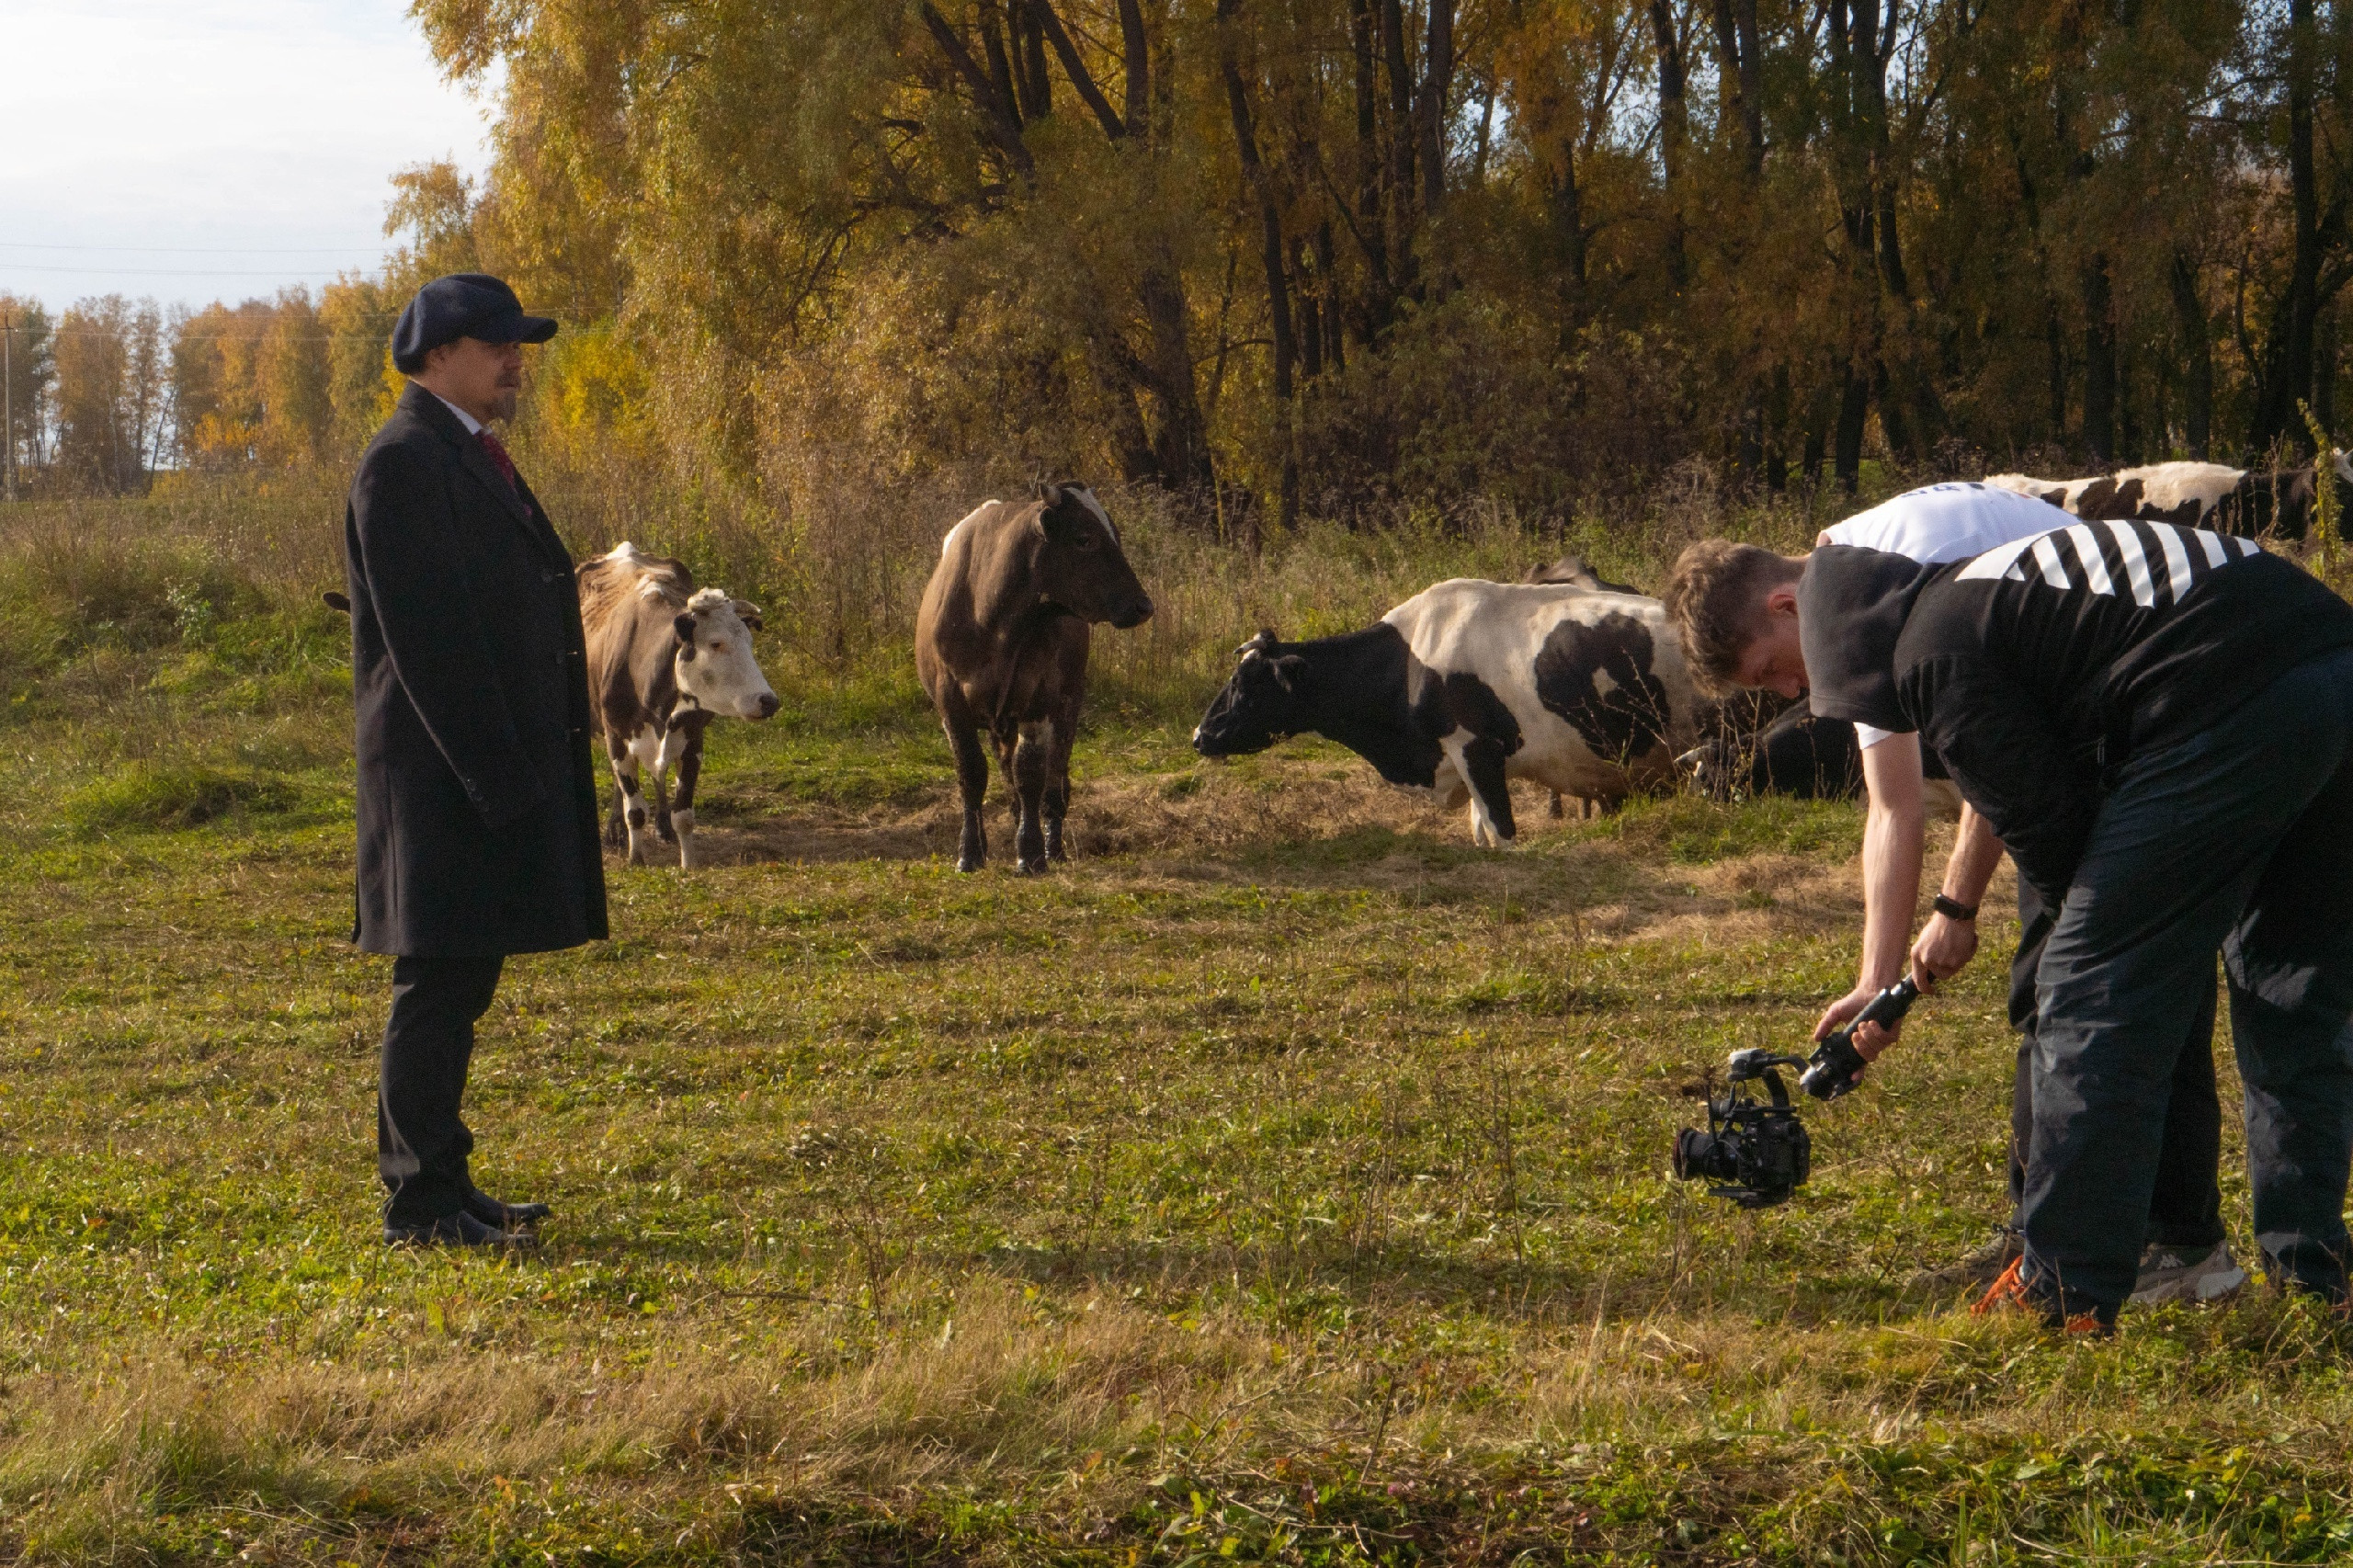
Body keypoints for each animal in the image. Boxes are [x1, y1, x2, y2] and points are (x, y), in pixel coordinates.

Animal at [913, 483, 1153, 870]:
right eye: (1084, 538)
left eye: (1116, 536)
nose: (1143, 605)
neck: (995, 618)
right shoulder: (950, 699)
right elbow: (972, 774)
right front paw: (970, 852)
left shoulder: (1038, 695)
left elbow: (1030, 773)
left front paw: (1031, 853)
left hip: (1067, 702)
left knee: (1054, 779)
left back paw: (1052, 845)